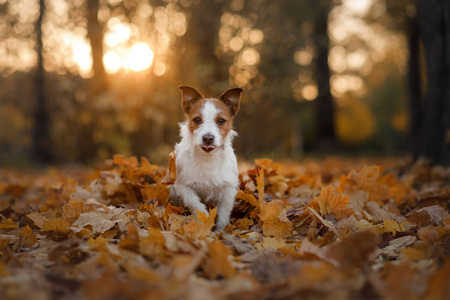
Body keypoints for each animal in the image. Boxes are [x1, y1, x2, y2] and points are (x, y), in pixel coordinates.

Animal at [170, 85, 243, 231]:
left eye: (221, 121)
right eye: (197, 120)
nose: (208, 138)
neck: (207, 158)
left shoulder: (228, 189)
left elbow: (224, 213)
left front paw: (221, 230)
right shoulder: (183, 186)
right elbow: (196, 205)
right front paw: (205, 222)